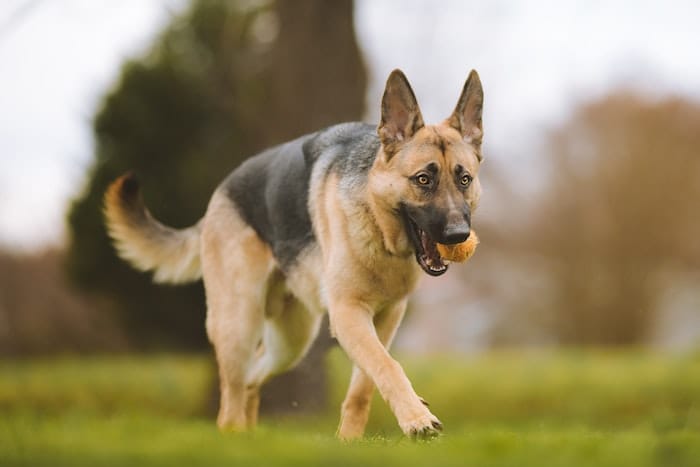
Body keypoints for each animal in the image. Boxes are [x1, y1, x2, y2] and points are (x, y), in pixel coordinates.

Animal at [104, 68, 484, 438]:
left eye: (464, 179)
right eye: (423, 180)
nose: (458, 235)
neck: (378, 226)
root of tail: (220, 192)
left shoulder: (386, 318)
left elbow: (364, 384)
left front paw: (350, 441)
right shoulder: (348, 313)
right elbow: (386, 365)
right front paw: (417, 419)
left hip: (291, 341)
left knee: (252, 380)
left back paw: (249, 437)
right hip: (238, 325)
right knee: (231, 398)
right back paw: (233, 437)